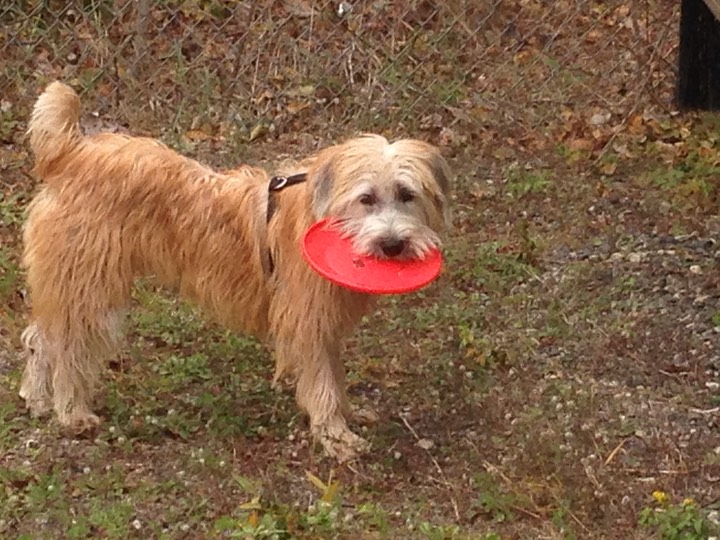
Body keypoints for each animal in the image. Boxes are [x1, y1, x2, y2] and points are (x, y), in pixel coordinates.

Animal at [18, 82, 450, 462]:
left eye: (407, 195)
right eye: (367, 198)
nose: (392, 244)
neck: (323, 212)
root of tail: (72, 153)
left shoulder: (322, 323)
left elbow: (334, 374)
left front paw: (347, 414)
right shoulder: (305, 319)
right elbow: (322, 381)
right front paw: (335, 435)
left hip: (71, 279)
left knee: (43, 336)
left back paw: (36, 397)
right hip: (89, 283)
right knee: (69, 346)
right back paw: (71, 411)